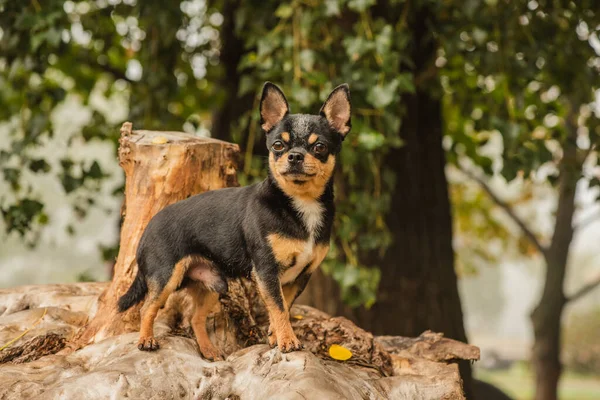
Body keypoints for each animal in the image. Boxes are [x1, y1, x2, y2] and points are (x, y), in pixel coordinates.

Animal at [118, 81, 352, 360]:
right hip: (166, 276)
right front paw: (287, 341)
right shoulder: (267, 271)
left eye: (320, 147)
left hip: (213, 283)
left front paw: (275, 337)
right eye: (278, 146)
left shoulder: (299, 277)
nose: (294, 156)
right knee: (147, 308)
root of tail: (147, 228)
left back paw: (209, 351)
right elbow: (279, 308)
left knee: (195, 318)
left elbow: (282, 308)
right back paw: (146, 340)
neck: (300, 203)